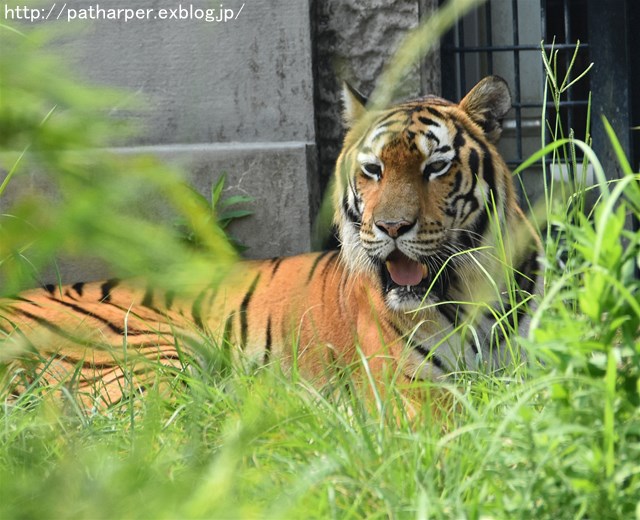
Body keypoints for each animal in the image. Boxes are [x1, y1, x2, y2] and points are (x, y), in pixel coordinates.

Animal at [0, 77, 540, 408]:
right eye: (373, 170)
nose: (391, 228)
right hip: (151, 354)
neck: (470, 289)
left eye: (436, 167)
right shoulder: (412, 390)